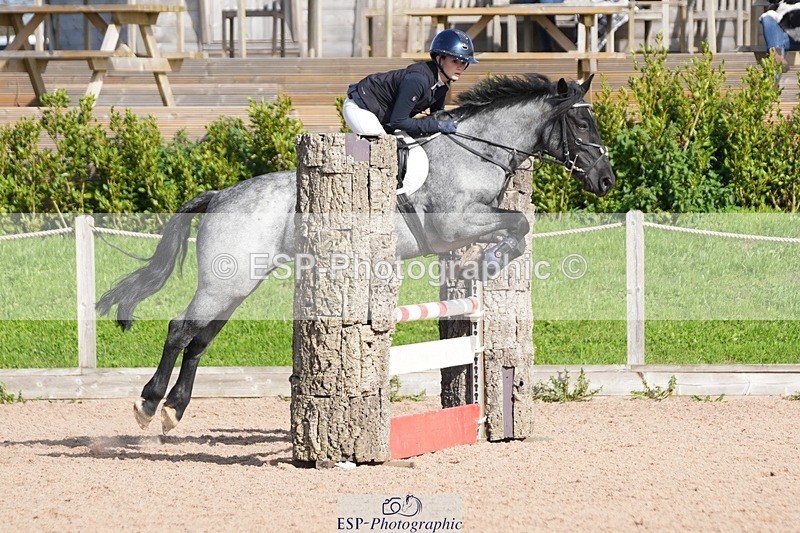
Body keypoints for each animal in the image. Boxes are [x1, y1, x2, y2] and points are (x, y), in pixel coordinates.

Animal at [97, 73, 616, 433]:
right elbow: (519, 225)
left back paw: (174, 410)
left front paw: (482, 267)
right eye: (581, 121)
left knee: (200, 338)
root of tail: (221, 195)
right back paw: (149, 403)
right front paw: (489, 262)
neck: (475, 152)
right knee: (180, 330)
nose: (607, 180)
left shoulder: (466, 227)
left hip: (237, 283)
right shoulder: (454, 224)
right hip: (225, 281)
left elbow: (518, 230)